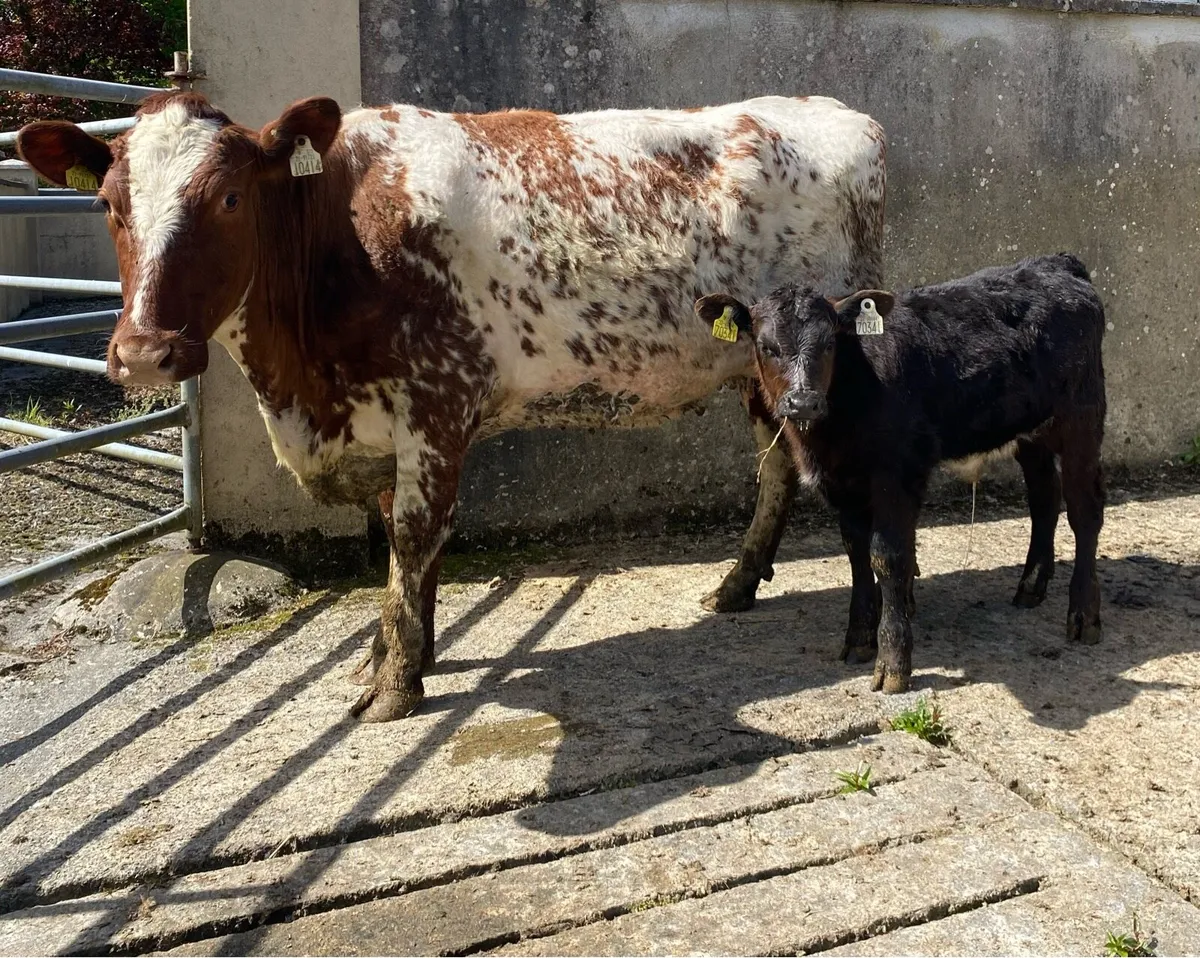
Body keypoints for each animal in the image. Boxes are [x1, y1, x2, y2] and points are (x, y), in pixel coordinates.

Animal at [18, 90, 887, 722]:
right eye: (105, 203)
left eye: (229, 198)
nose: (143, 351)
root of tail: (839, 112)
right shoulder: (384, 428)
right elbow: (404, 547)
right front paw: (400, 654)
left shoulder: (437, 404)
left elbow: (412, 536)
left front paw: (395, 686)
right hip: (757, 366)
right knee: (776, 467)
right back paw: (738, 585)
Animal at [695, 253, 1106, 693]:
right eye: (766, 346)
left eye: (829, 343)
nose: (803, 402)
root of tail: (1054, 263)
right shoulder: (841, 482)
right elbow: (856, 553)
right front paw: (859, 639)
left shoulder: (897, 472)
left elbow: (887, 557)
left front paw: (893, 661)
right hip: (1031, 429)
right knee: (1044, 496)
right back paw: (1031, 586)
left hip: (1082, 415)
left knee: (1085, 511)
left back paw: (1083, 615)